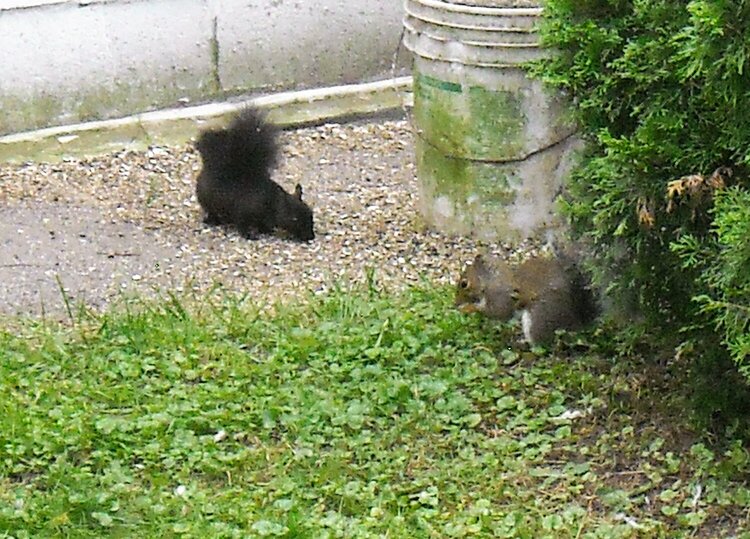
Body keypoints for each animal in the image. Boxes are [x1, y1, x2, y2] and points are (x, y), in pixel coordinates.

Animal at [195, 107, 316, 243]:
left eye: (311, 214)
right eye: (294, 218)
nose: (310, 237)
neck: (271, 202)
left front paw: (266, 230)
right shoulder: (243, 212)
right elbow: (242, 226)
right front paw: (250, 235)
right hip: (207, 201)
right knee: (211, 212)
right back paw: (212, 220)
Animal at [456, 254, 604, 346]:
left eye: (464, 283)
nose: (455, 302)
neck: (492, 281)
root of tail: (575, 326)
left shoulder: (500, 297)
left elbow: (498, 312)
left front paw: (468, 308)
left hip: (537, 318)